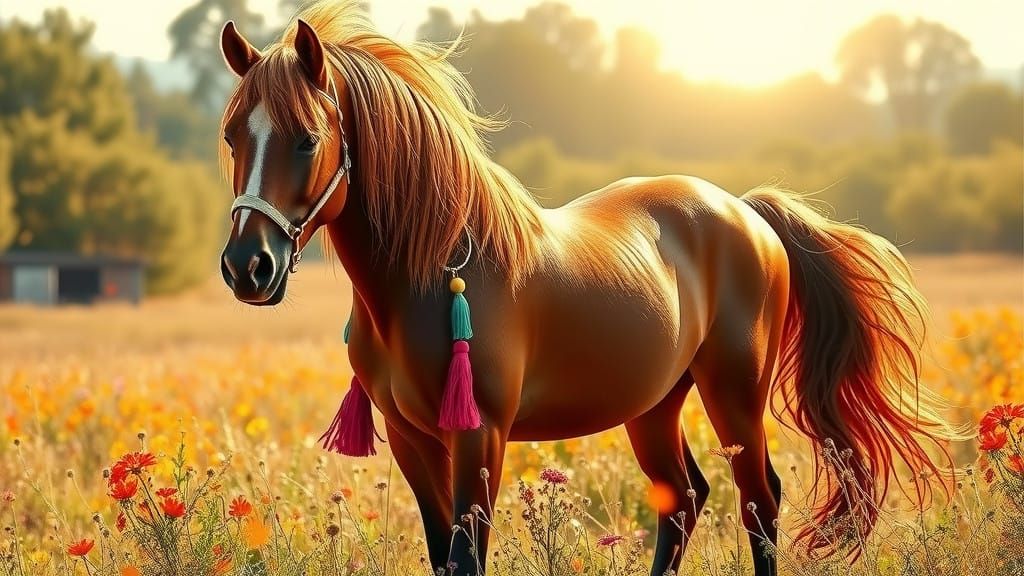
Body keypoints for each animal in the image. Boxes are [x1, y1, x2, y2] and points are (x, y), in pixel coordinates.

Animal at [216, 3, 953, 575]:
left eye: (308, 139)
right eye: (230, 136)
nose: (247, 267)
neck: (428, 277)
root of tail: (746, 211)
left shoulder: (480, 436)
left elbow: (467, 556)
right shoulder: (409, 438)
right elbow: (440, 552)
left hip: (735, 393)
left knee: (758, 501)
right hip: (654, 404)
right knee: (682, 500)